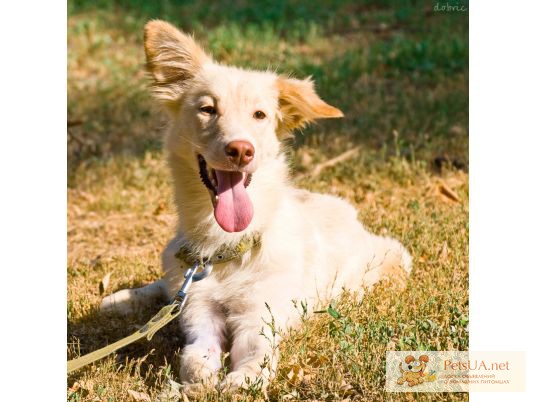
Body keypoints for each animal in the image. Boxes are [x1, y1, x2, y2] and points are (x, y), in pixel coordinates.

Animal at [101, 20, 410, 392]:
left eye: (259, 114)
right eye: (208, 109)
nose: (240, 150)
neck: (226, 248)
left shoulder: (260, 313)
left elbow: (255, 349)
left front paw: (244, 378)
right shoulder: (198, 309)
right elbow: (195, 351)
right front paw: (200, 379)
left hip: (387, 262)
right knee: (166, 285)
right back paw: (121, 299)